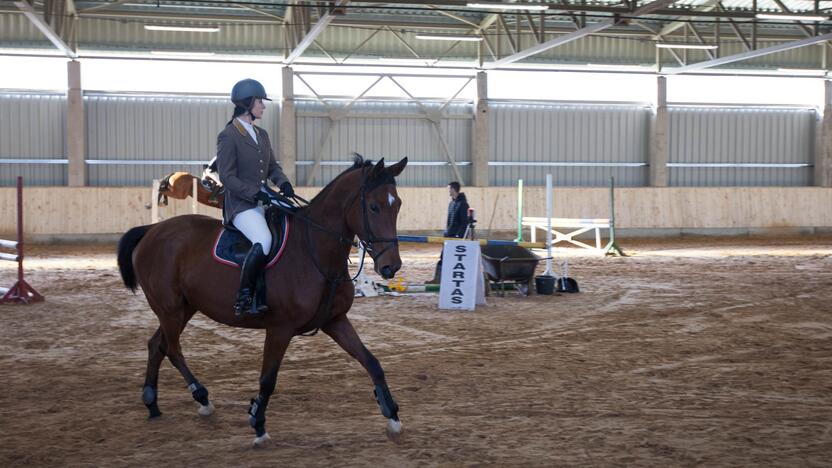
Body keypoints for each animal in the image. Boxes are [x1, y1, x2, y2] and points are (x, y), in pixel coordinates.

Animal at [119, 156, 410, 446]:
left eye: (397, 205)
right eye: (373, 207)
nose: (391, 267)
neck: (314, 251)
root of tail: (152, 231)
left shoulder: (335, 321)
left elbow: (372, 362)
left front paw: (393, 416)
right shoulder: (280, 328)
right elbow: (268, 379)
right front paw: (258, 425)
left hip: (183, 308)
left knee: (157, 345)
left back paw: (152, 402)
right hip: (169, 308)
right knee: (172, 349)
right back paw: (202, 398)